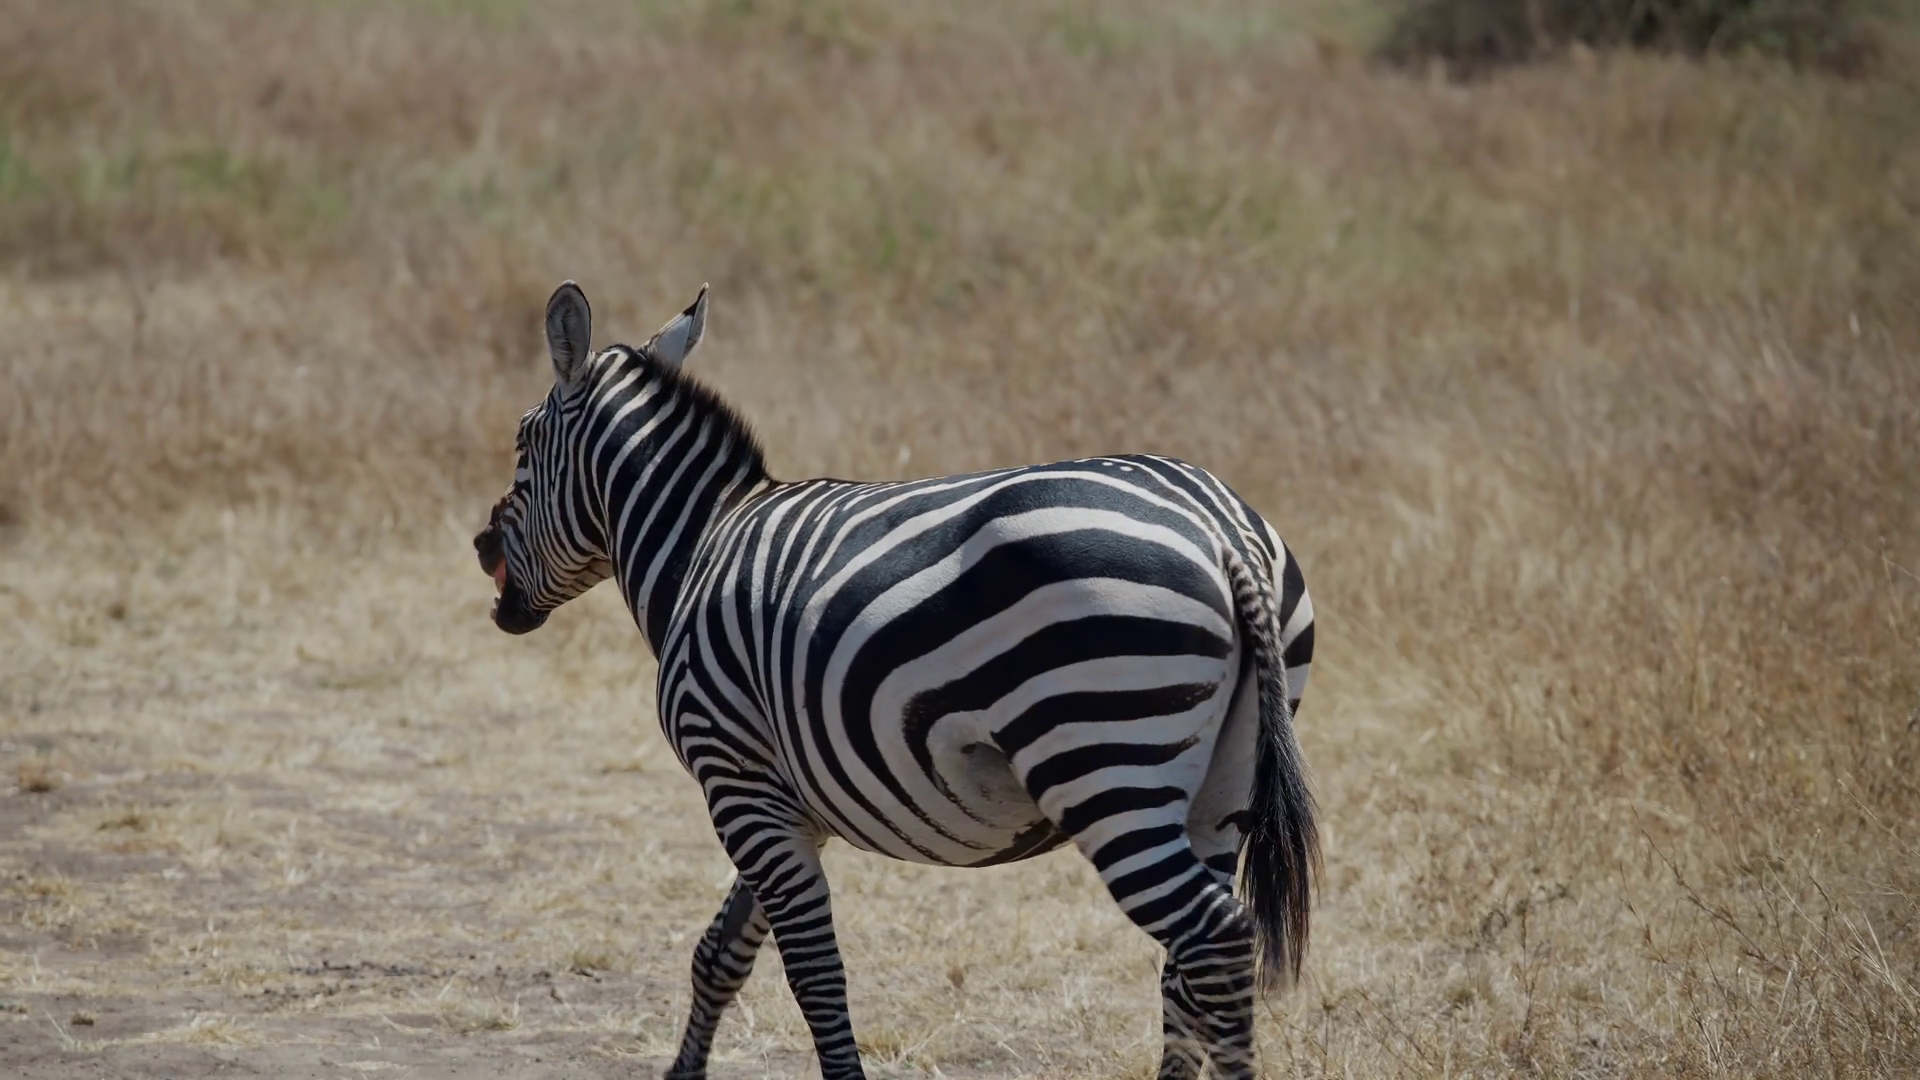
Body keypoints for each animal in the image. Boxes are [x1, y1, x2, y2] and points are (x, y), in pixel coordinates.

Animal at [474, 281, 1320, 1080]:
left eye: (521, 443)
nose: (481, 549)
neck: (700, 548)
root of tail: (1222, 530)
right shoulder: (785, 801)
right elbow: (723, 953)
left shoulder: (736, 780)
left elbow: (813, 972)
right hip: (1222, 788)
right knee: (1191, 967)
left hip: (1103, 761)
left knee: (1212, 939)